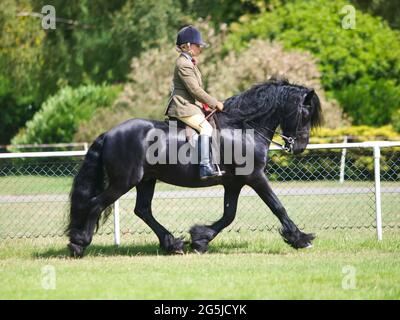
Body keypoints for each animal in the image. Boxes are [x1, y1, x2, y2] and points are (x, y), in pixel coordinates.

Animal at [65, 79, 322, 258]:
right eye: (304, 114)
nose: (299, 147)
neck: (242, 128)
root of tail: (109, 134)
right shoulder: (254, 177)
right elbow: (277, 207)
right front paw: (301, 239)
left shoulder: (234, 183)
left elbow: (229, 215)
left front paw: (200, 239)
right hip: (124, 181)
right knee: (96, 204)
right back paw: (79, 244)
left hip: (146, 180)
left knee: (143, 210)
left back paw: (173, 244)